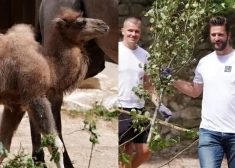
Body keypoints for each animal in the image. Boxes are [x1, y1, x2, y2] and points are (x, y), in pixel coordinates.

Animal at [0, 7, 108, 167]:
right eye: (80, 22)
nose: (103, 25)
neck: (51, 69)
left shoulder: (16, 105)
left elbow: (3, 146)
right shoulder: (35, 97)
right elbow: (56, 144)